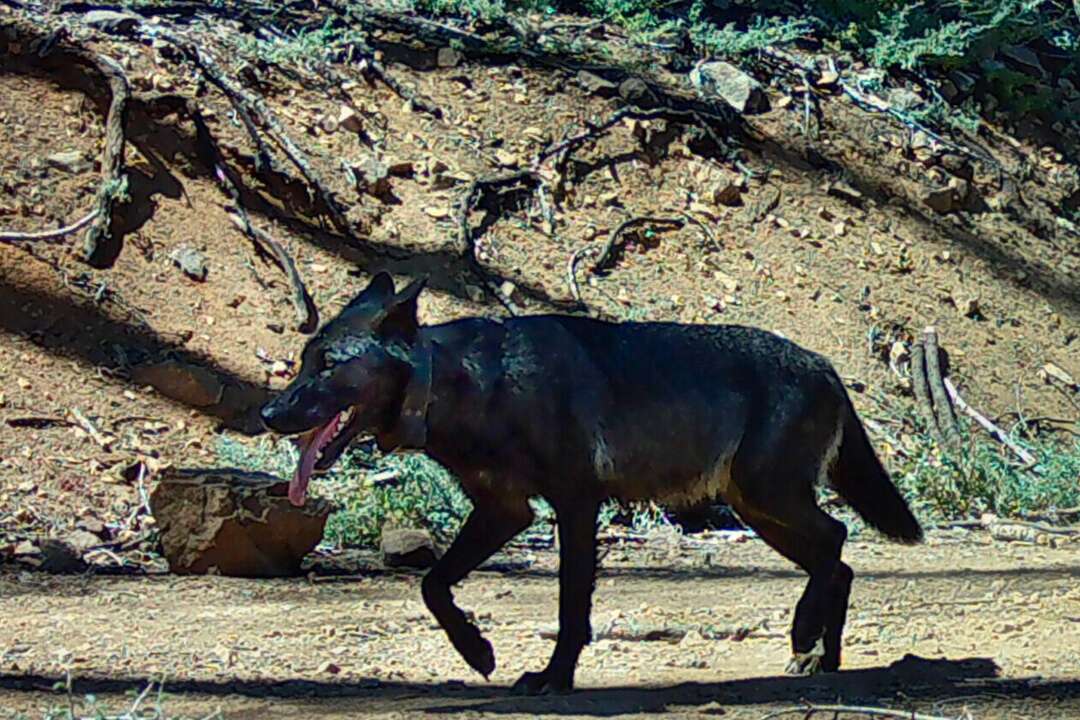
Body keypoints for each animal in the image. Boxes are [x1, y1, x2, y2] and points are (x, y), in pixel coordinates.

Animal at [260, 272, 923, 694]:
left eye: (328, 366)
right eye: (303, 361)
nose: (267, 414)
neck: (466, 384)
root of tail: (827, 365)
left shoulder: (574, 505)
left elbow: (571, 605)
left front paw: (555, 677)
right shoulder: (506, 512)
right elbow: (433, 585)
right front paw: (478, 650)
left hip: (768, 498)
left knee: (837, 540)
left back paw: (806, 636)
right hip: (760, 512)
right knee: (839, 561)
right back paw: (822, 658)